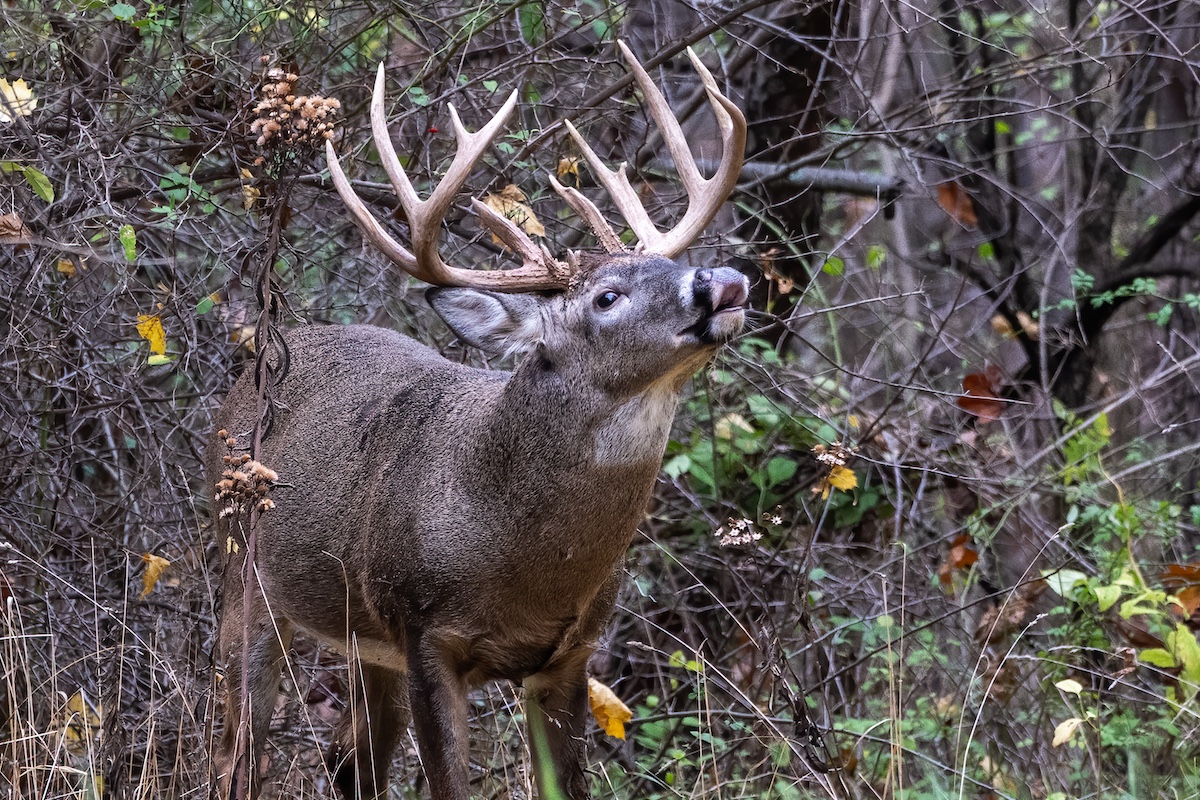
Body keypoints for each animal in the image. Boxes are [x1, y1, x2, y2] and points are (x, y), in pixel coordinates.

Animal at [208, 41, 747, 800]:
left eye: (670, 264)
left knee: (349, 760)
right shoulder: (425, 635)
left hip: (362, 638)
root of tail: (257, 363)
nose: (721, 282)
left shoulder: (570, 655)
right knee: (236, 754)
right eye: (608, 297)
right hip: (246, 576)